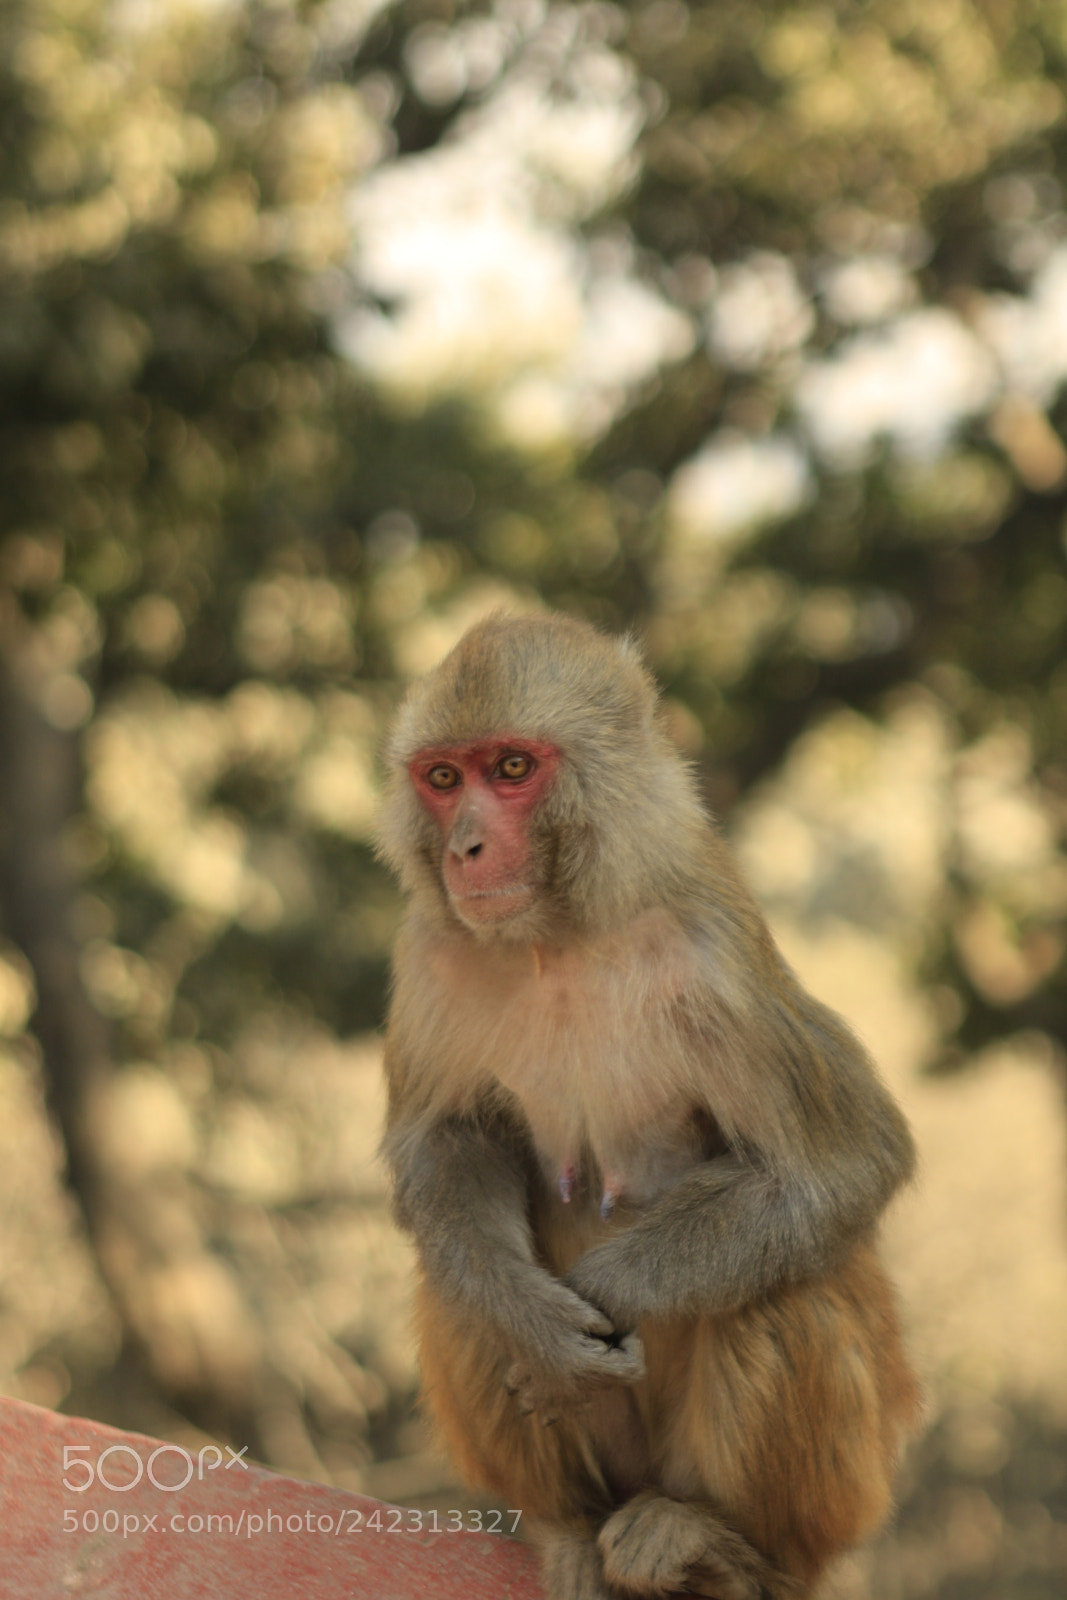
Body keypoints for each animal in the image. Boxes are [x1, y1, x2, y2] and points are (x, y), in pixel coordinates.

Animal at [377, 612, 921, 1600]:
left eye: (511, 768)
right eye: (442, 779)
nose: (464, 848)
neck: (561, 931)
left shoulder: (716, 956)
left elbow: (843, 1164)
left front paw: (603, 1297)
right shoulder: (431, 949)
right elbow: (445, 1144)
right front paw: (533, 1327)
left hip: (839, 1495)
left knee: (778, 1286)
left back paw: (720, 1544)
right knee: (453, 1281)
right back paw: (565, 1522)